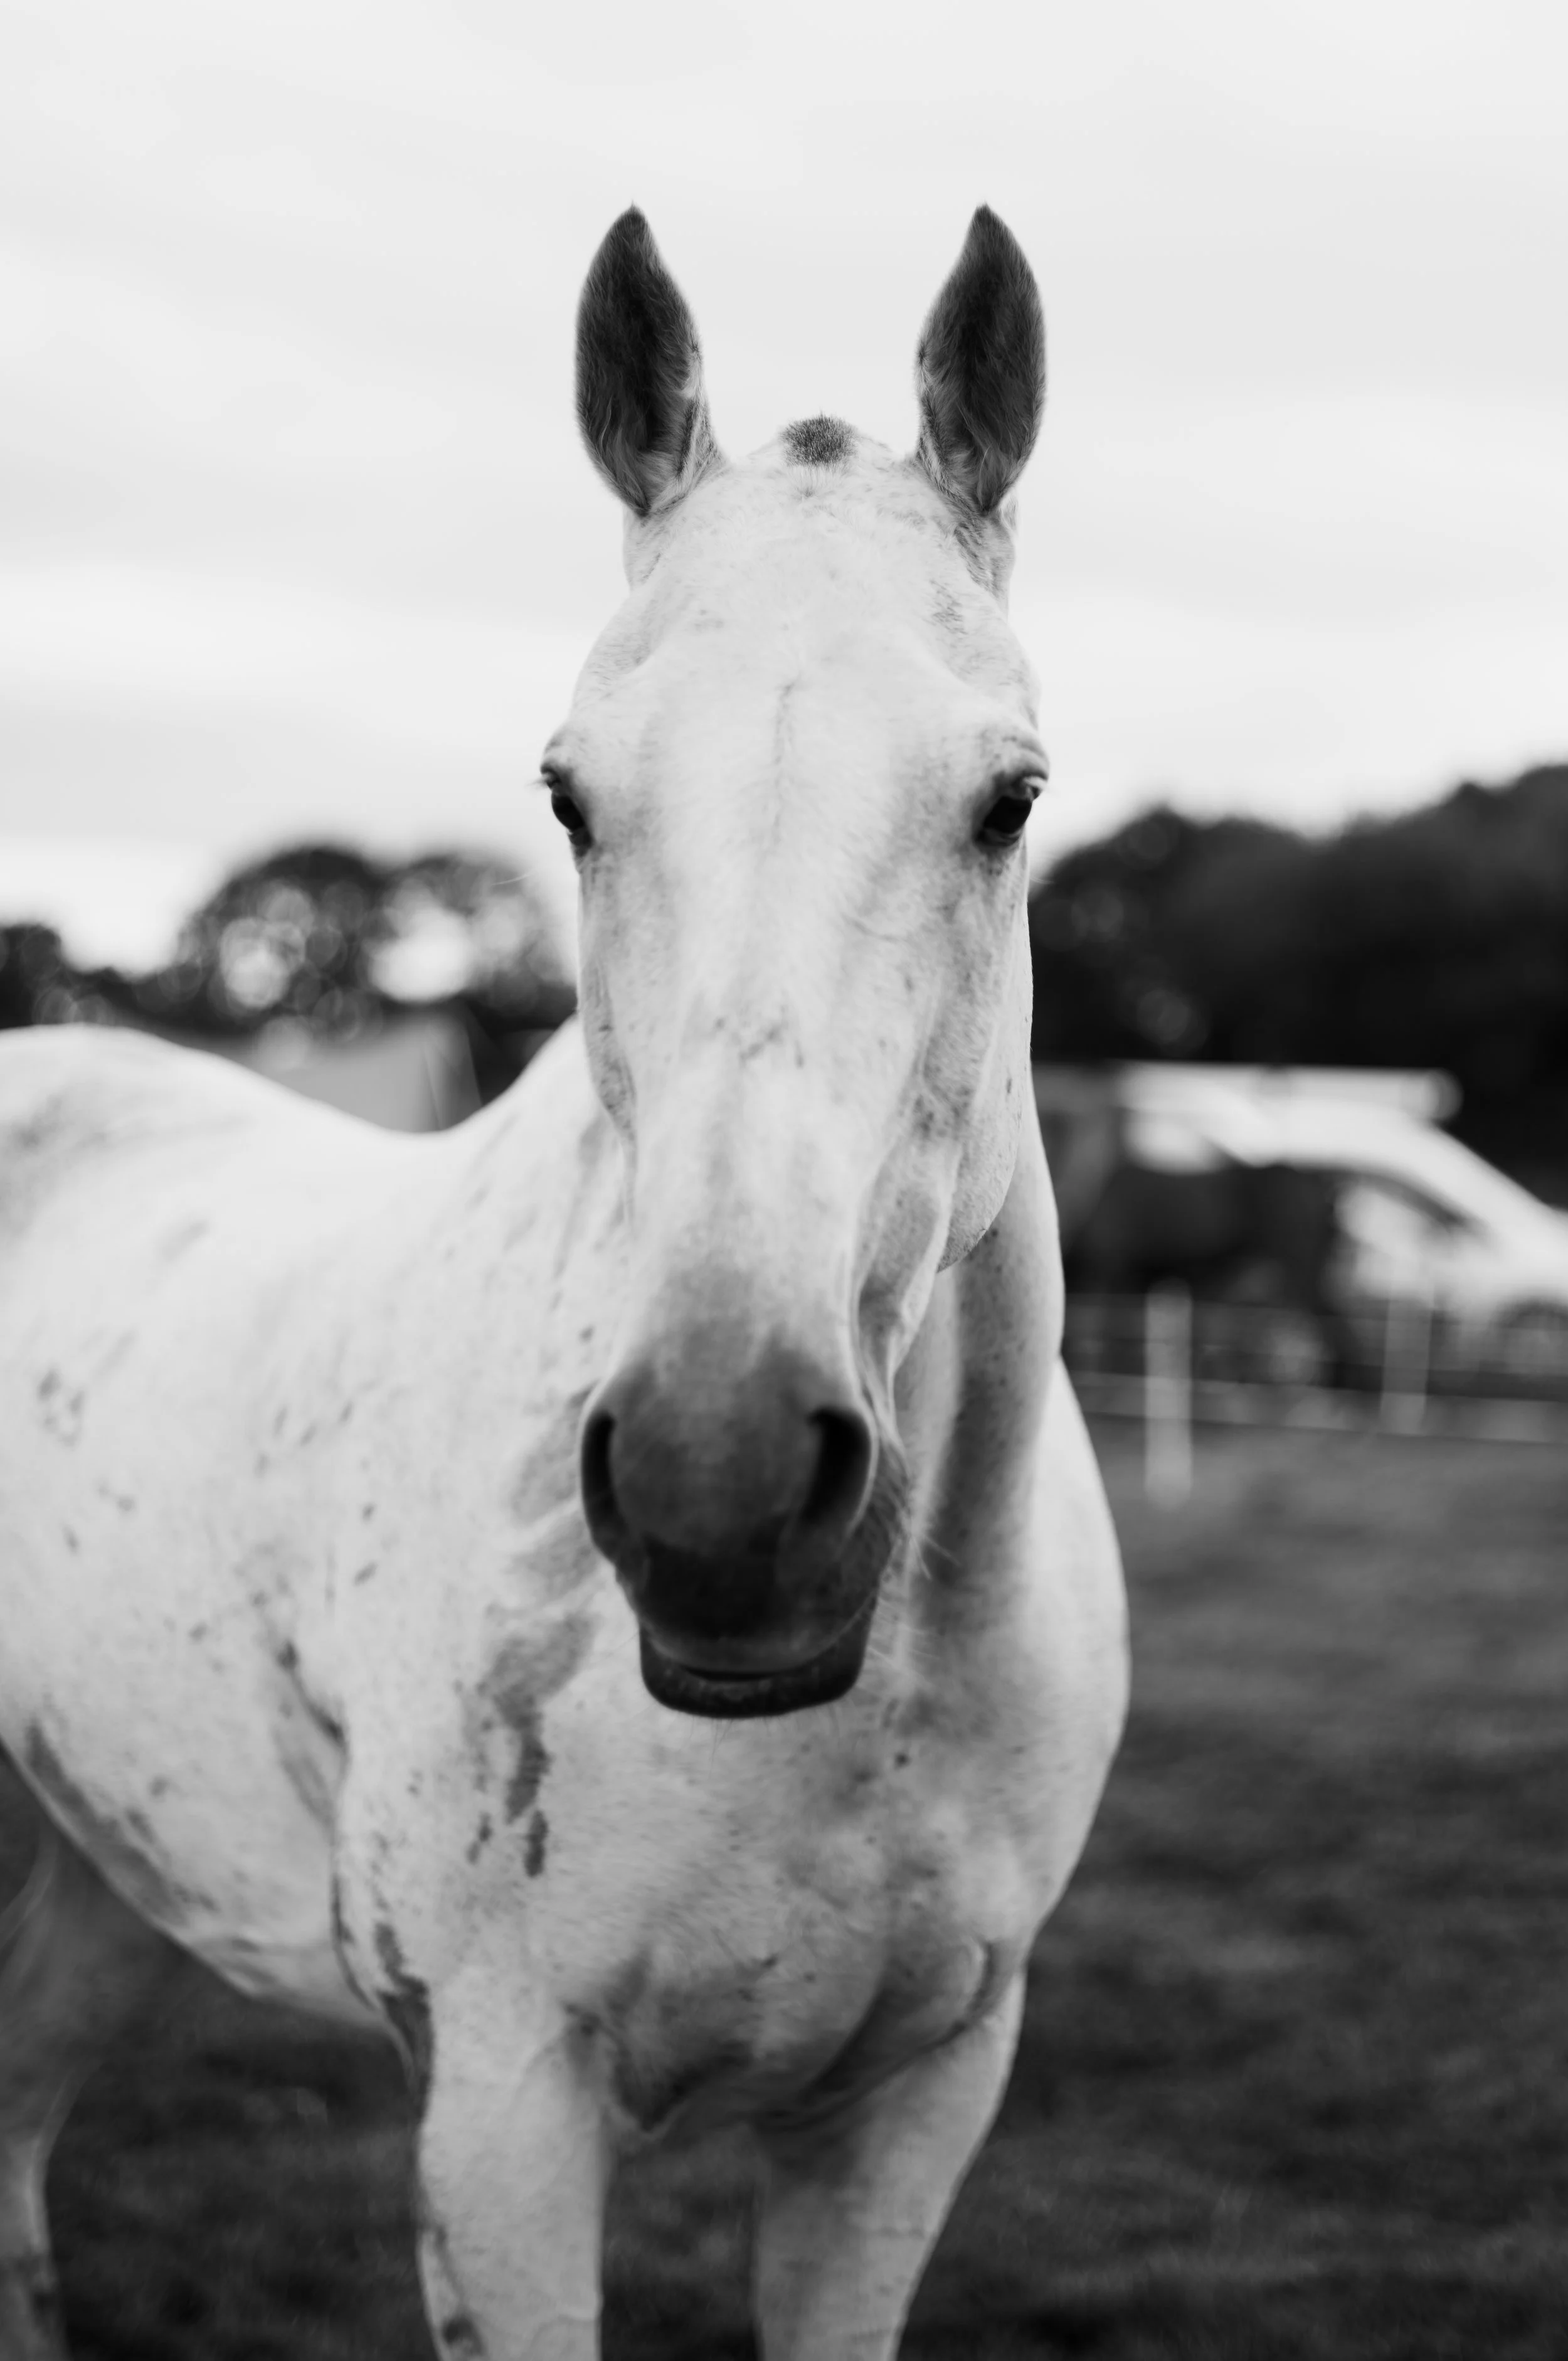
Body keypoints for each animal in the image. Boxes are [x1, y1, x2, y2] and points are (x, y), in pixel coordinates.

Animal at [0, 206, 1128, 2360]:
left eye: (1010, 796)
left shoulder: (909, 2108)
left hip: (100, 1864)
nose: (719, 1485)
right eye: (568, 796)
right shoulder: (502, 2116)